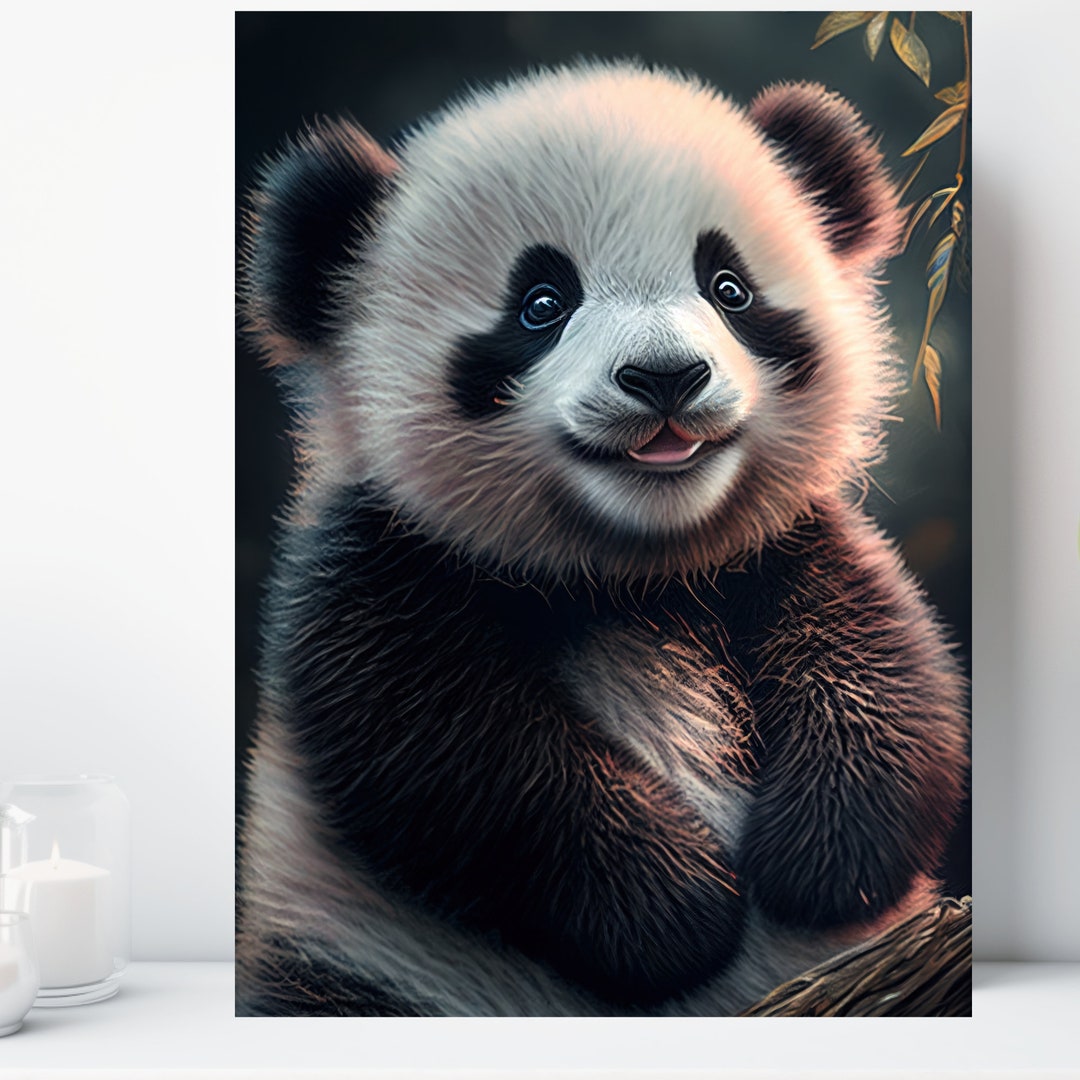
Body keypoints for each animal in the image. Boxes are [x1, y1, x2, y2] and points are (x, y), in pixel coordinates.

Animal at [236, 61, 968, 1017]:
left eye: (728, 287)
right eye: (541, 304)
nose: (666, 376)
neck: (633, 566)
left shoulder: (784, 541)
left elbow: (883, 664)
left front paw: (819, 860)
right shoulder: (383, 559)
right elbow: (450, 744)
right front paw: (677, 909)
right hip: (360, 963)